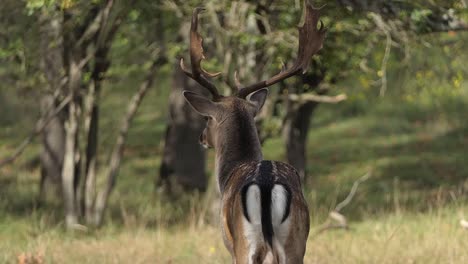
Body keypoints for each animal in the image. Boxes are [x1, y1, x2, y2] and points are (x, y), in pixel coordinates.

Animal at [179, 2, 326, 264]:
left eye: (206, 118)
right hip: (295, 241)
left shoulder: (229, 244)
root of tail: (267, 187)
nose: (201, 138)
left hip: (245, 243)